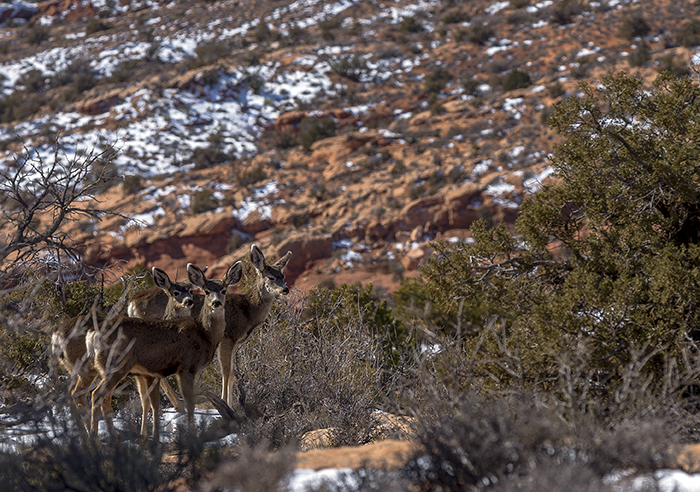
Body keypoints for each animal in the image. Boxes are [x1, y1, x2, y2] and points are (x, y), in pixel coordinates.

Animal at [51, 267, 193, 436]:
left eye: (191, 290)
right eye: (175, 292)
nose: (189, 301)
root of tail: (56, 335)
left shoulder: (139, 374)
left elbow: (144, 400)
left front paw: (144, 433)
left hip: (72, 368)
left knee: (71, 394)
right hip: (87, 367)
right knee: (81, 394)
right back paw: (96, 433)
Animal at [89, 262, 242, 439]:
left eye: (224, 290)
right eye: (206, 291)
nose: (216, 303)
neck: (204, 333)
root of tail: (93, 334)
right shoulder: (186, 366)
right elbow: (190, 403)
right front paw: (191, 434)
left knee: (103, 396)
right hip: (116, 364)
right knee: (97, 394)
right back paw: (99, 435)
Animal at [128, 244, 292, 409]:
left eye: (283, 276)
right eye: (271, 277)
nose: (285, 289)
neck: (247, 311)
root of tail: (131, 303)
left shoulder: (235, 342)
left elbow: (231, 373)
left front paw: (231, 404)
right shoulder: (228, 337)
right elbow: (226, 371)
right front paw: (226, 403)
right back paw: (178, 405)